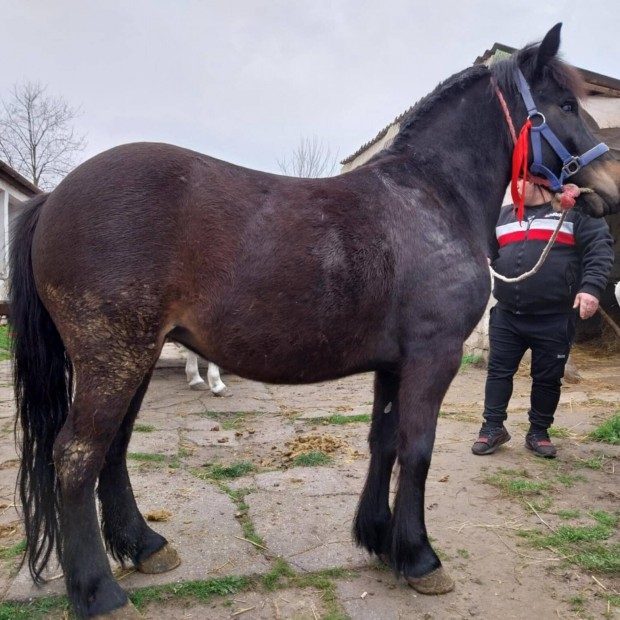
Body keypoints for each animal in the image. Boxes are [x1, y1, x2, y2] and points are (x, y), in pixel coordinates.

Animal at [8, 24, 620, 620]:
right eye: (566, 103)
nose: (610, 187)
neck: (430, 195)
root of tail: (53, 198)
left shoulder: (394, 364)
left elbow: (384, 441)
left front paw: (378, 539)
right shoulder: (433, 356)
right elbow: (417, 448)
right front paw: (419, 557)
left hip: (133, 357)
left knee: (111, 450)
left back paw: (145, 547)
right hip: (114, 357)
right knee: (77, 456)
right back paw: (99, 594)